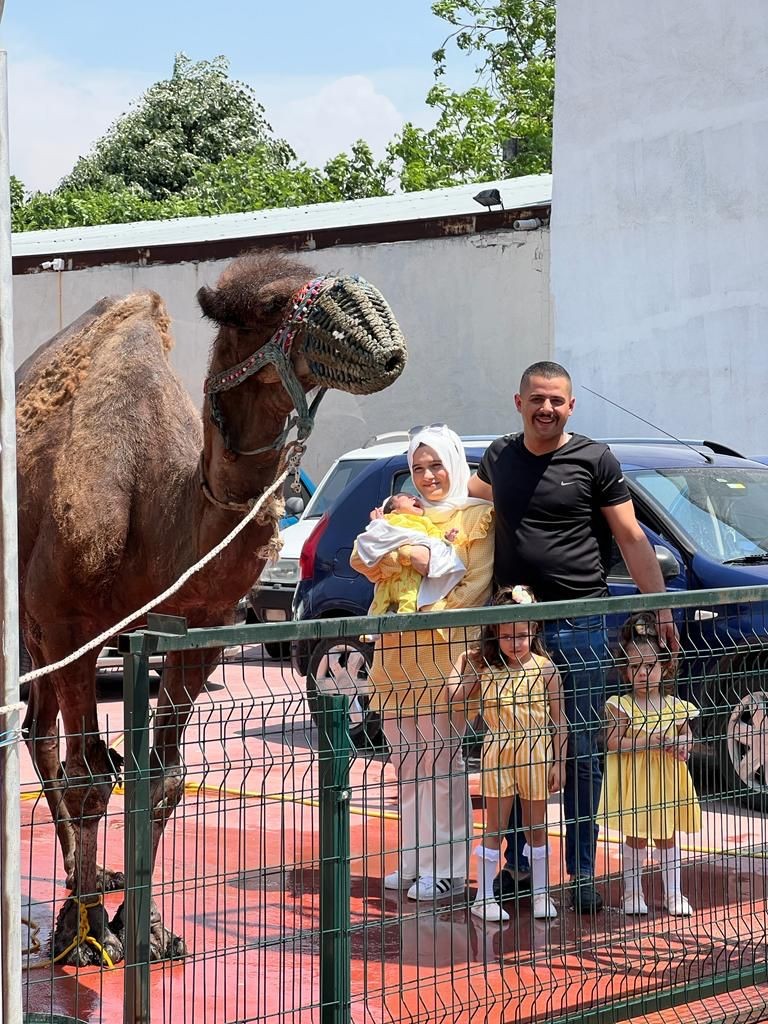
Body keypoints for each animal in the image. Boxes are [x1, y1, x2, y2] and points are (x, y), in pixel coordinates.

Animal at [15, 251, 405, 962]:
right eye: (269, 305)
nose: (382, 333)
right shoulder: (71, 625)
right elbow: (93, 778)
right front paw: (88, 937)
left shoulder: (203, 629)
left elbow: (160, 777)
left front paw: (145, 930)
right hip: (35, 623)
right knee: (49, 739)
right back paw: (71, 910)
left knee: (40, 731)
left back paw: (89, 878)